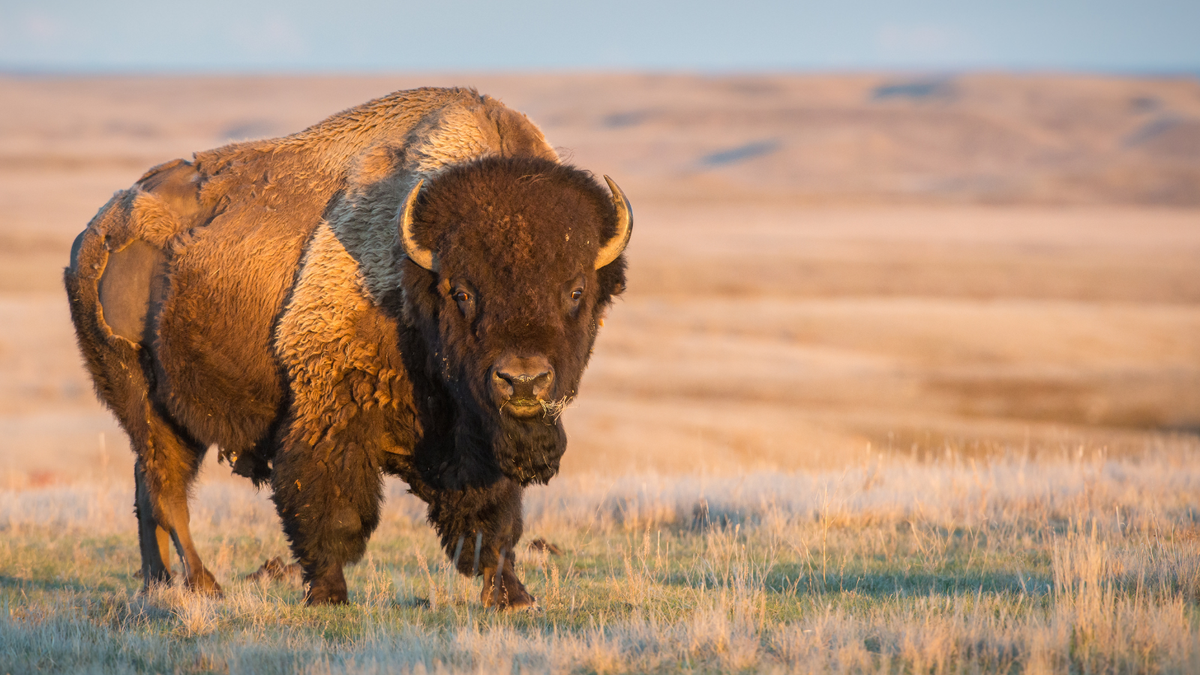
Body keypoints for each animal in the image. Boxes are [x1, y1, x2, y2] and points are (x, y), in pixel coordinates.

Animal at [64, 87, 631, 607]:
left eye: (576, 291)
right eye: (462, 292)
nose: (523, 380)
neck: (413, 279)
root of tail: (95, 233)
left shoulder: (477, 441)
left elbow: (493, 520)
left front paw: (513, 596)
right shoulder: (330, 412)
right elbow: (331, 509)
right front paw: (327, 595)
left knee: (148, 492)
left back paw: (157, 585)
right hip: (144, 403)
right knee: (166, 491)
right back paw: (205, 586)